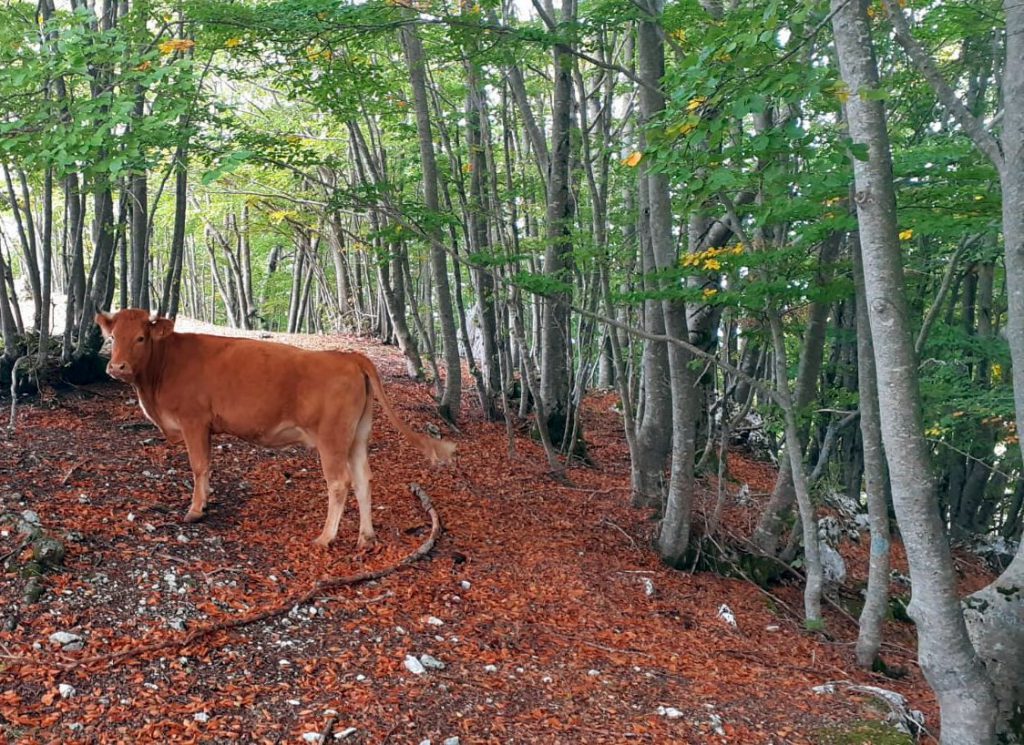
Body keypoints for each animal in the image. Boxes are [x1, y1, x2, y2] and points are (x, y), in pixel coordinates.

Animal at [96, 309, 456, 548]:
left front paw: (195, 511)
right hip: (357, 436)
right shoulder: (205, 427)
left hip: (331, 438)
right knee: (363, 479)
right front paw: (206, 501)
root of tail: (348, 356)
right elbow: (208, 466)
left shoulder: (193, 420)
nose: (116, 367)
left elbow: (198, 465)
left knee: (339, 482)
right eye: (112, 338)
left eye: (141, 338)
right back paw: (365, 536)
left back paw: (326, 537)